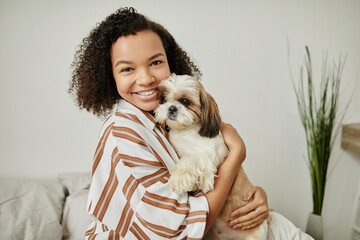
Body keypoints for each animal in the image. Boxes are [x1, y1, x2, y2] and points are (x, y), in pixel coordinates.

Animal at [153, 74, 268, 239]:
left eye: (185, 101)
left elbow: (190, 161)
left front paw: (178, 179)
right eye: (163, 99)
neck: (186, 132)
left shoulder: (208, 160)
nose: (172, 108)